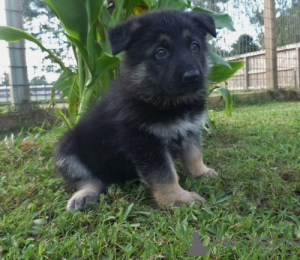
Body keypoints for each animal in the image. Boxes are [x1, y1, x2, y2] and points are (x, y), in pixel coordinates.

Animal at [55, 9, 217, 211]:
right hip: (67, 148)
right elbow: (164, 174)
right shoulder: (144, 142)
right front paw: (177, 198)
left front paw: (202, 173)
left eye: (194, 46)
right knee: (90, 180)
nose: (193, 76)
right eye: (160, 52)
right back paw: (83, 196)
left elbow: (194, 154)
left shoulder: (190, 129)